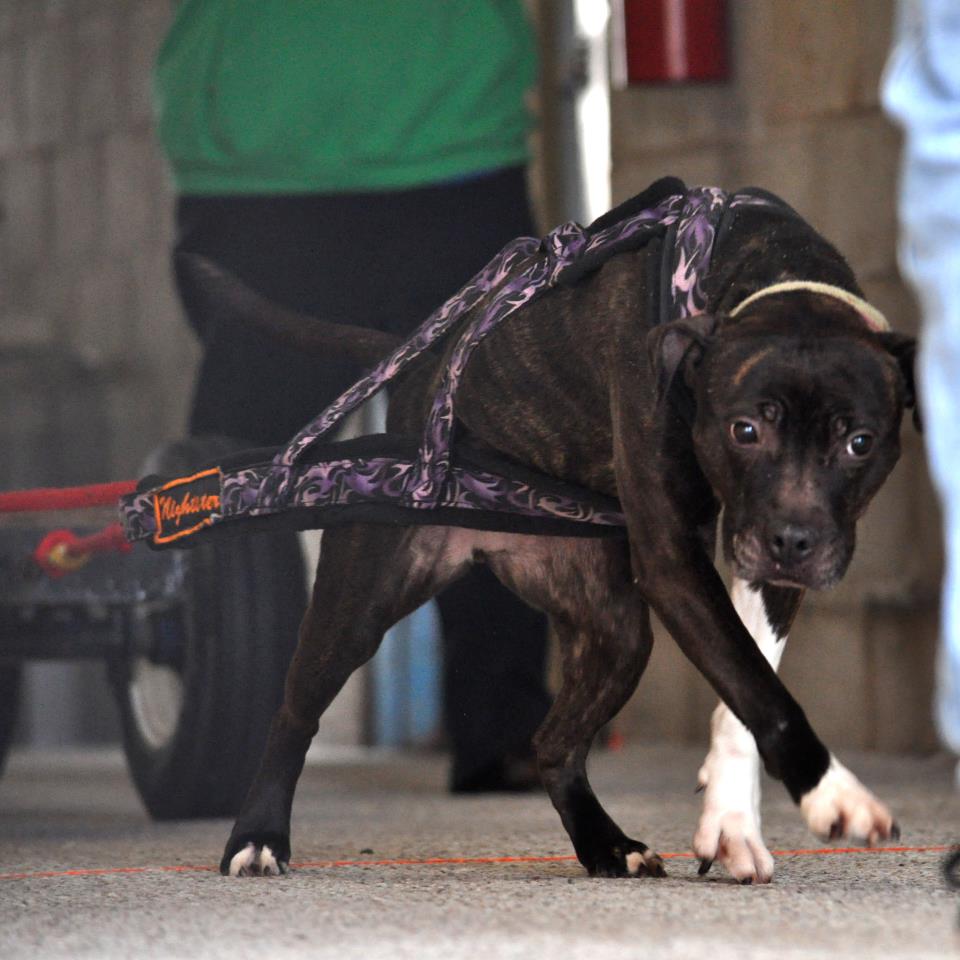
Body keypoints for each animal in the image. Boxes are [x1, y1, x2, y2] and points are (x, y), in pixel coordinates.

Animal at [199, 193, 920, 884]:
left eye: (860, 442)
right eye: (745, 430)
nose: (793, 541)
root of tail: (423, 367)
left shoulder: (765, 575)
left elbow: (747, 683)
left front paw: (731, 822)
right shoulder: (676, 565)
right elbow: (759, 689)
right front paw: (832, 794)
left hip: (616, 635)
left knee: (555, 744)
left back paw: (607, 844)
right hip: (361, 602)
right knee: (295, 711)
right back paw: (257, 838)